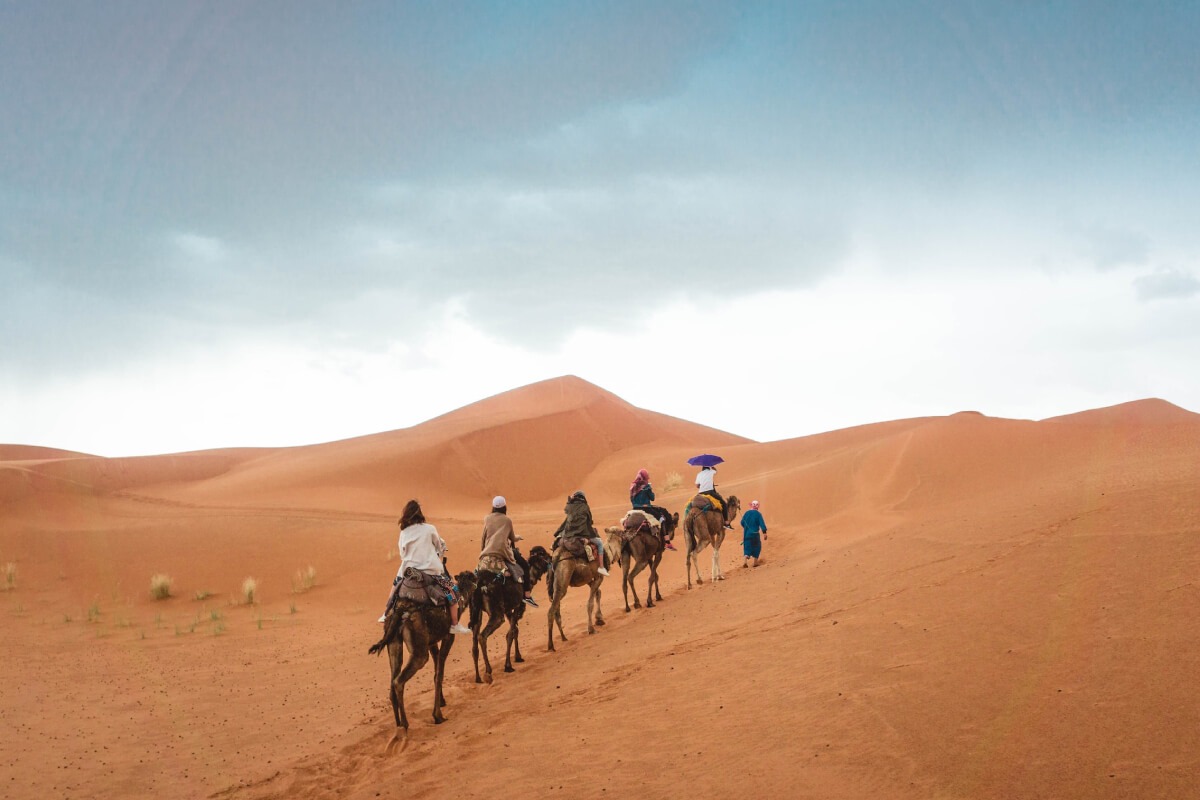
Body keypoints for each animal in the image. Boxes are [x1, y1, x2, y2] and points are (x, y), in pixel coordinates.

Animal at [367, 568, 475, 734]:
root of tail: (400, 609)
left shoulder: (431, 642)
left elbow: (436, 671)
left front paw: (442, 703)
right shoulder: (448, 636)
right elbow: (439, 675)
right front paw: (438, 716)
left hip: (393, 642)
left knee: (393, 681)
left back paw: (398, 725)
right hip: (419, 649)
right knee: (399, 680)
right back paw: (405, 725)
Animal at [470, 546, 554, 686]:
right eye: (544, 555)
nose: (552, 558)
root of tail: (481, 585)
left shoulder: (509, 610)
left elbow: (515, 630)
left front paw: (518, 657)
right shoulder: (518, 606)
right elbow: (510, 634)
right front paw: (508, 665)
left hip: (477, 612)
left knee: (475, 642)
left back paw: (478, 678)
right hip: (497, 614)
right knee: (482, 636)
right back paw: (488, 673)